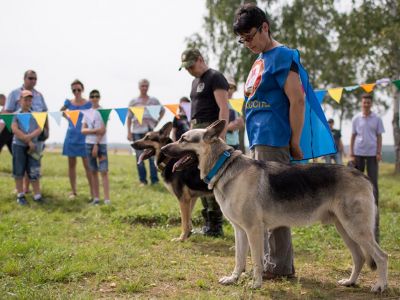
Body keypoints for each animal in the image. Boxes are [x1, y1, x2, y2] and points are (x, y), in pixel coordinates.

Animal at [161, 120, 390, 292]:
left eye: (183, 139)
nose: (162, 149)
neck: (224, 166)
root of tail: (363, 176)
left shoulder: (253, 230)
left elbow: (256, 260)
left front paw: (256, 284)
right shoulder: (240, 231)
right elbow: (239, 260)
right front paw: (234, 279)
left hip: (357, 230)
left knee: (381, 256)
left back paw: (380, 286)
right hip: (345, 229)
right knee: (359, 257)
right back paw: (351, 282)